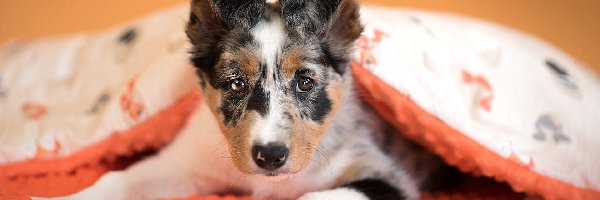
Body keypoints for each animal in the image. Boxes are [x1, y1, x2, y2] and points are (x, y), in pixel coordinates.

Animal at [56, 0, 442, 200]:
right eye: (235, 83)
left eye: (305, 82)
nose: (269, 156)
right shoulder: (184, 165)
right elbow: (118, 179)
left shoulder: (383, 173)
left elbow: (320, 195)